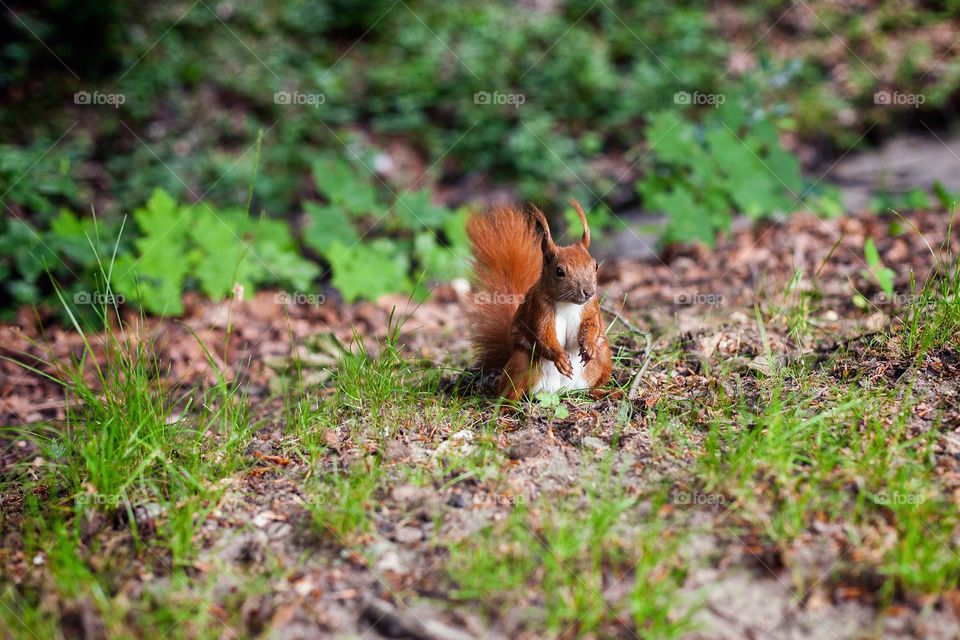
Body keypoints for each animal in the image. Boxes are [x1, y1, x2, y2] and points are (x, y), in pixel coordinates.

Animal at [466, 200, 612, 400]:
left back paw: (605, 392)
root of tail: (560, 391)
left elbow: (593, 324)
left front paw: (588, 346)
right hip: (521, 363)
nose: (588, 292)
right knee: (509, 391)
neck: (567, 304)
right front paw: (560, 358)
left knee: (592, 386)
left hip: (603, 358)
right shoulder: (538, 308)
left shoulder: (591, 307)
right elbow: (542, 335)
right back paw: (507, 405)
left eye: (595, 265)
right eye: (559, 271)